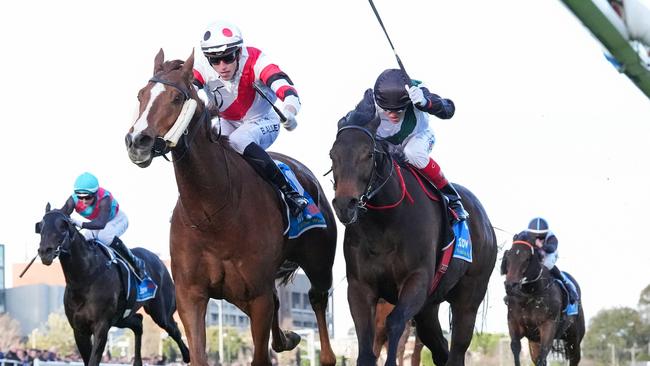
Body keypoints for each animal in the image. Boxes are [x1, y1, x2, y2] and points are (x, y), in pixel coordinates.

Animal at [35, 204, 189, 364]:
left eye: (63, 226)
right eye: (41, 226)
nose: (45, 251)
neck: (86, 277)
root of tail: (159, 261)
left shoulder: (101, 326)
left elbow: (93, 359)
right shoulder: (79, 329)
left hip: (160, 312)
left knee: (174, 329)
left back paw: (187, 355)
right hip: (121, 317)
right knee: (138, 322)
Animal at [123, 49, 336, 366]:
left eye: (176, 98)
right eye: (141, 95)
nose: (137, 141)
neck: (213, 213)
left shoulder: (257, 295)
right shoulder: (191, 295)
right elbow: (199, 354)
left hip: (318, 262)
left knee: (318, 300)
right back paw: (287, 338)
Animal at [330, 89, 496, 366]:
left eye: (368, 154)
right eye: (333, 155)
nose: (345, 205)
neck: (383, 225)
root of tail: (485, 221)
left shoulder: (417, 279)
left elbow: (394, 323)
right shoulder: (360, 286)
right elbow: (366, 341)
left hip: (468, 296)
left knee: (457, 349)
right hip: (429, 307)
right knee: (439, 347)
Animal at [498, 230, 584, 364]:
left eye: (527, 259)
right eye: (508, 256)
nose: (510, 285)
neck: (530, 294)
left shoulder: (548, 326)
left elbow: (542, 357)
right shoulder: (514, 324)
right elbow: (516, 349)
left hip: (574, 339)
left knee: (574, 358)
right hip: (535, 342)